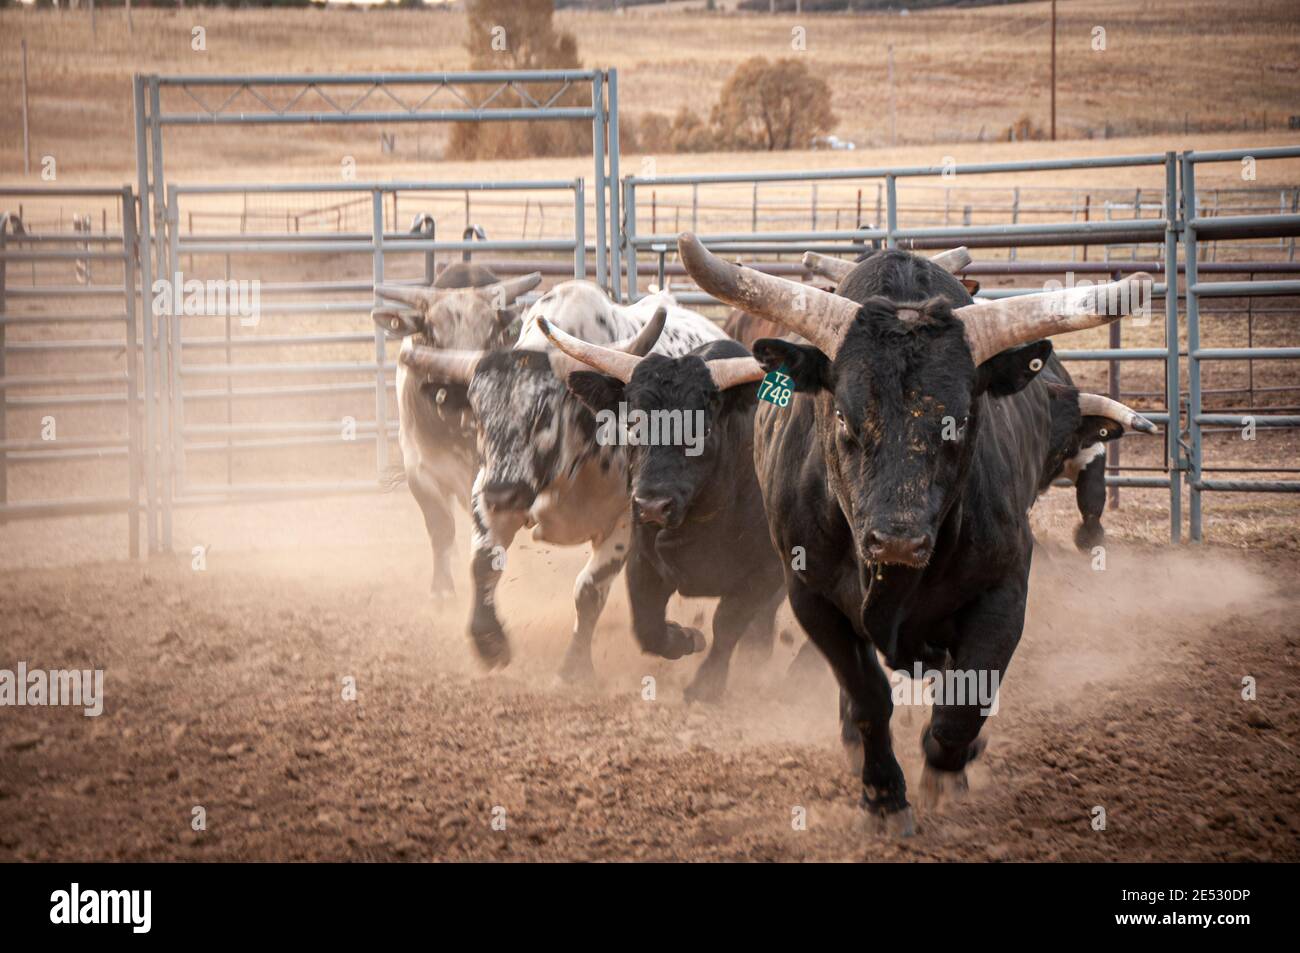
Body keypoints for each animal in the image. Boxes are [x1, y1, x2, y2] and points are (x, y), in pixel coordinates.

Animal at [371, 264, 542, 599]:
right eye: (433, 335)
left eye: (491, 334)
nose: (463, 385)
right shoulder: (419, 471)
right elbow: (441, 526)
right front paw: (442, 589)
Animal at [396, 281, 729, 681]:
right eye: (478, 411)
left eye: (542, 412)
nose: (502, 494)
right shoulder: (487, 491)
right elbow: (484, 564)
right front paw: (489, 640)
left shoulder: (625, 523)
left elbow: (589, 591)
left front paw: (575, 667)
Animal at [536, 318, 786, 702]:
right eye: (631, 424)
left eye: (702, 428)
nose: (653, 505)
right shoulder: (643, 560)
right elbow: (648, 626)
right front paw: (685, 638)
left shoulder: (766, 571)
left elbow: (729, 622)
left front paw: (706, 685)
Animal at [677, 231, 1151, 835]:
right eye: (842, 418)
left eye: (962, 422)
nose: (898, 542)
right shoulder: (812, 597)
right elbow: (867, 698)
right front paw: (883, 794)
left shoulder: (1004, 590)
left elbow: (967, 697)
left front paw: (948, 770)